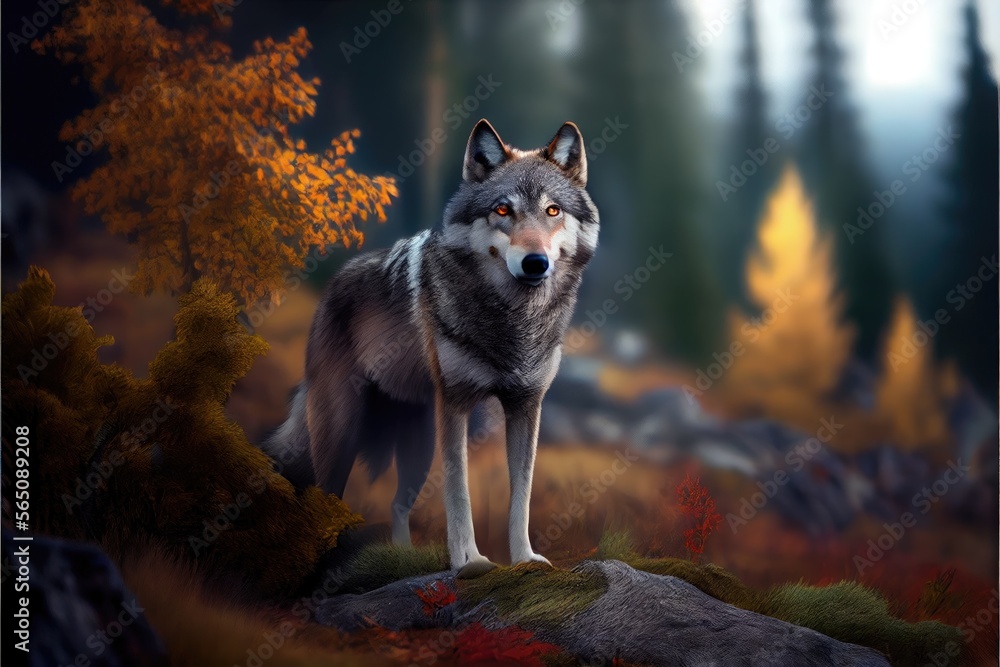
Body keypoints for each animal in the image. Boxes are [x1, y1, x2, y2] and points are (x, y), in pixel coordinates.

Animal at [265, 119, 599, 573]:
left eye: (552, 211)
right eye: (502, 210)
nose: (535, 262)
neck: (513, 323)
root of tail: (336, 280)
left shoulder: (526, 408)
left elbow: (522, 494)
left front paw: (525, 559)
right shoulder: (455, 405)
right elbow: (458, 491)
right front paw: (469, 562)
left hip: (417, 447)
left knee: (396, 504)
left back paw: (402, 555)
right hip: (343, 434)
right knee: (326, 498)